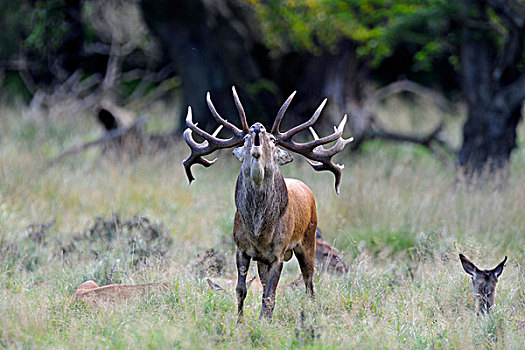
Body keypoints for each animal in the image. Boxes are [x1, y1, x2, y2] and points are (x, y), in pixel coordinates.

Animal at [182, 87, 350, 320]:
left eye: (272, 139)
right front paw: (240, 321)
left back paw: (310, 310)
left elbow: (271, 294)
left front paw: (264, 322)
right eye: (244, 139)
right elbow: (241, 289)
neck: (259, 231)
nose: (257, 127)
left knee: (309, 281)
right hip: (264, 260)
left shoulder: (278, 252)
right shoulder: (242, 248)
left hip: (309, 239)